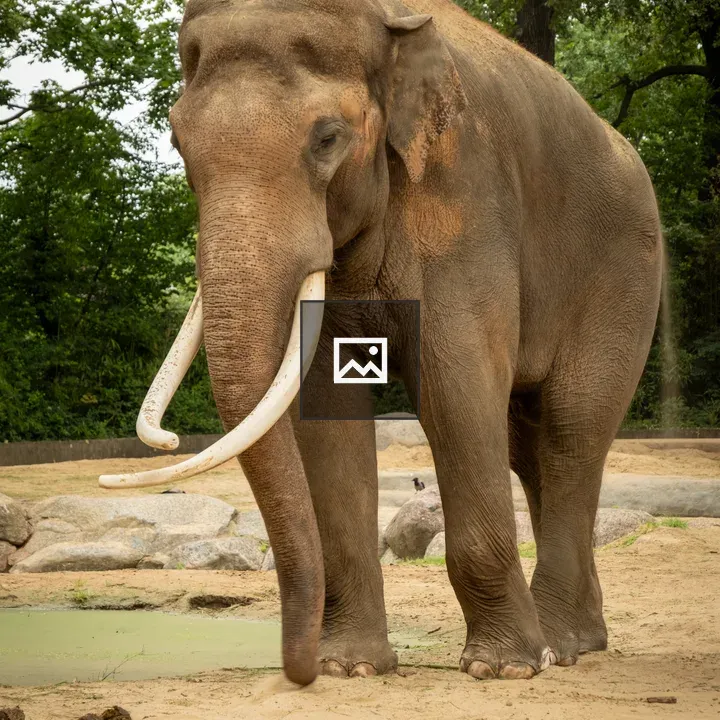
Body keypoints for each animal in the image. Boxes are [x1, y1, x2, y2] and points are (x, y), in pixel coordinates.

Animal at [99, 0, 663, 687]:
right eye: (178, 142)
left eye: (327, 138)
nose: (298, 672)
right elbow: (326, 400)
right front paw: (350, 667)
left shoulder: (465, 195)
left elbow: (456, 384)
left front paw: (502, 668)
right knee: (529, 445)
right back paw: (582, 639)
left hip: (624, 275)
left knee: (571, 429)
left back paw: (559, 645)